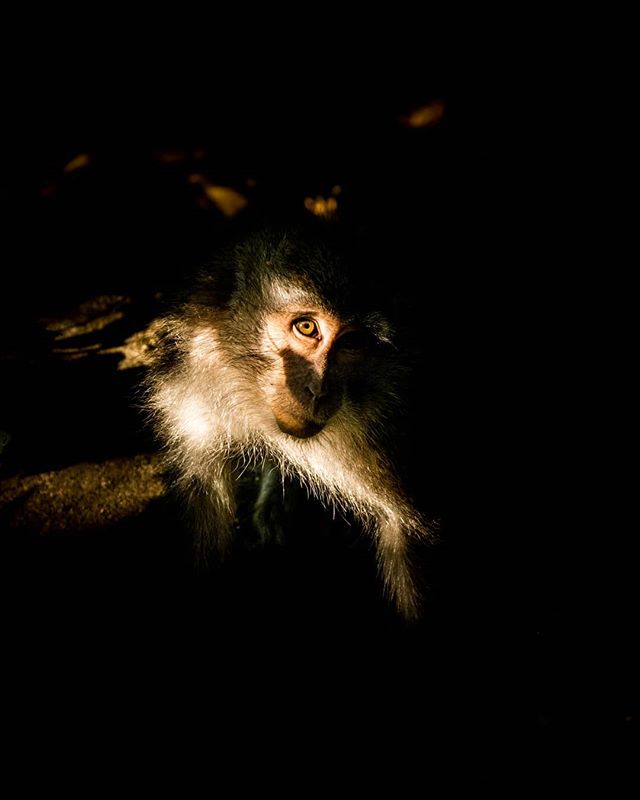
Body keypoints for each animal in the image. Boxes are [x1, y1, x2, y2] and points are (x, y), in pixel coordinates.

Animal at [142, 221, 434, 621]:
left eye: (352, 342)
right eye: (307, 327)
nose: (318, 390)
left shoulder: (384, 428)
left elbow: (405, 532)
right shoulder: (193, 385)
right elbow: (205, 492)